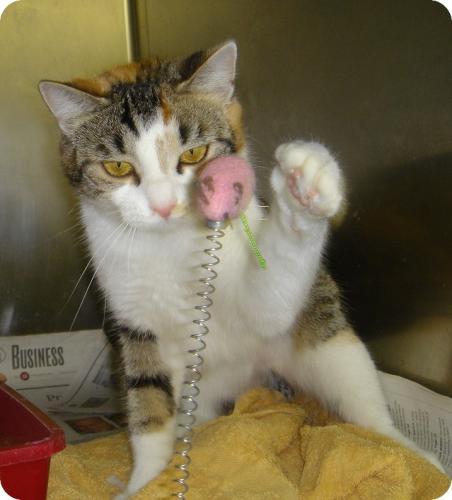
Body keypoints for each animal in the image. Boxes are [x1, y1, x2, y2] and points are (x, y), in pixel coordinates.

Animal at [39, 41, 443, 497]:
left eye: (194, 154)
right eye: (118, 168)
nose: (164, 206)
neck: (171, 245)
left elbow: (270, 303)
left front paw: (304, 189)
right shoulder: (134, 320)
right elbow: (149, 401)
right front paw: (145, 482)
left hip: (326, 338)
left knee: (356, 386)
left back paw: (410, 453)